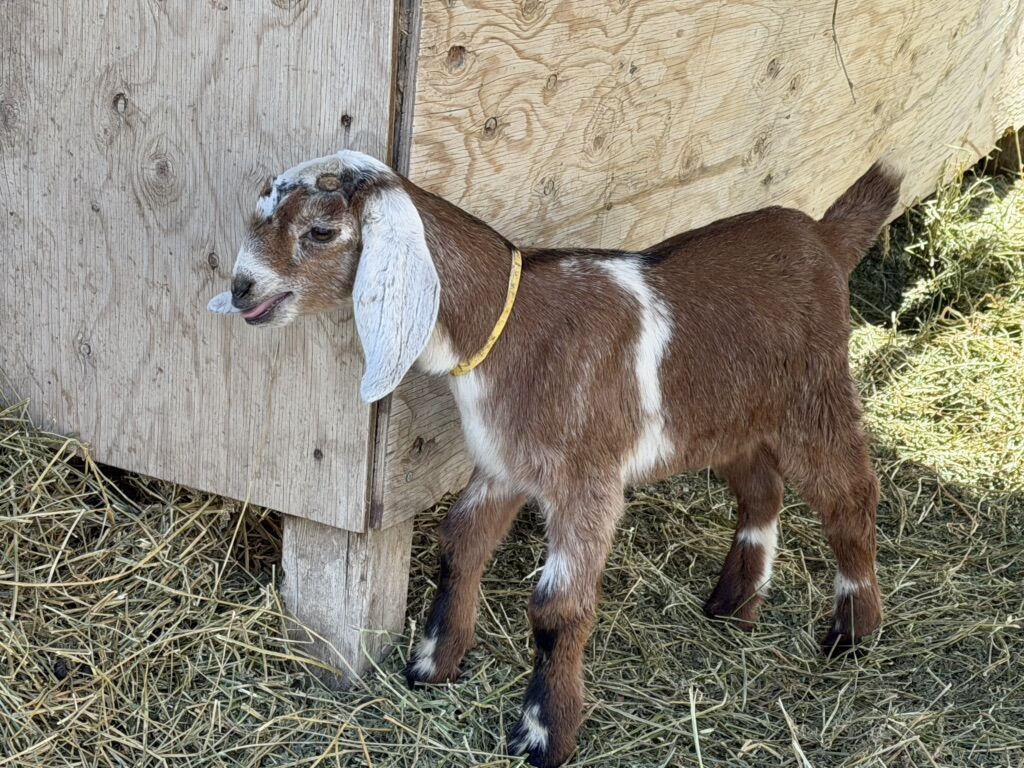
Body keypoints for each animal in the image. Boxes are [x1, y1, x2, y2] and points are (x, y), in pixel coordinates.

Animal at [209, 150, 901, 768]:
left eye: (321, 231)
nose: (242, 288)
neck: (513, 327)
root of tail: (822, 236)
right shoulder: (504, 467)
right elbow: (460, 543)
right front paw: (434, 662)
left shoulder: (586, 482)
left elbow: (556, 607)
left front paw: (543, 734)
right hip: (728, 418)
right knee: (762, 490)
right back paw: (735, 603)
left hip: (813, 397)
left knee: (851, 495)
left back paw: (852, 629)